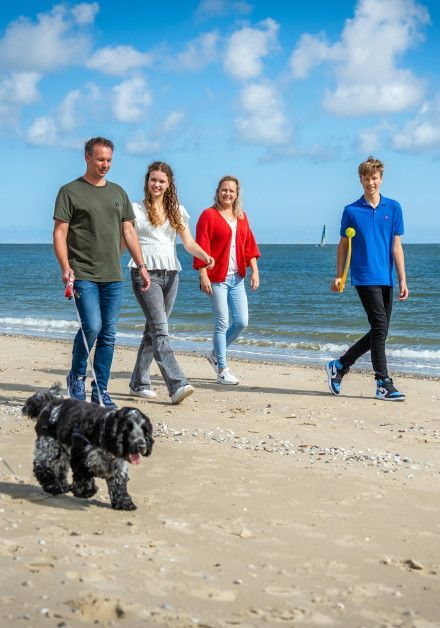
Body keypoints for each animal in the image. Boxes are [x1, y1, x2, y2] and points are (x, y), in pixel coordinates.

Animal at [24, 382, 156, 510]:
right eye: (128, 429)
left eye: (145, 430)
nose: (142, 446)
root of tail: (48, 403)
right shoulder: (79, 456)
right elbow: (83, 476)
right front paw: (85, 491)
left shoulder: (118, 467)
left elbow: (119, 485)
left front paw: (124, 503)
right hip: (50, 445)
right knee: (42, 466)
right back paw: (53, 486)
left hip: (61, 450)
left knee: (59, 468)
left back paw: (60, 485)